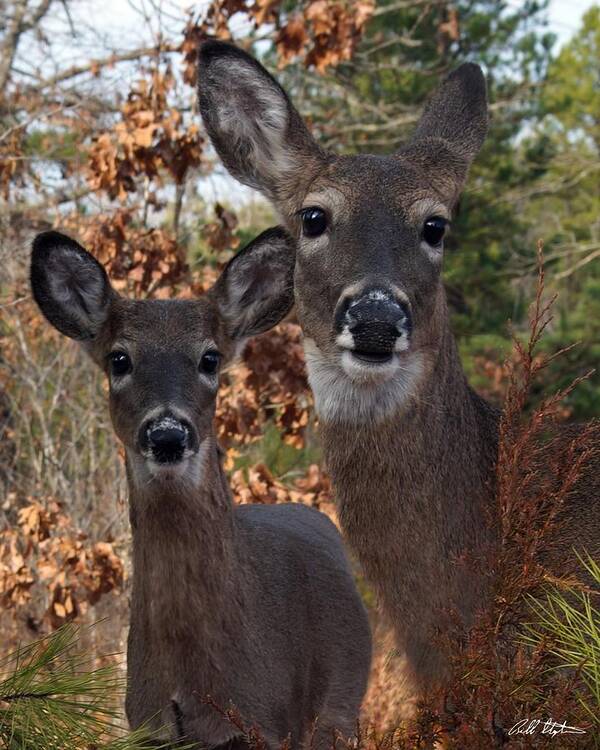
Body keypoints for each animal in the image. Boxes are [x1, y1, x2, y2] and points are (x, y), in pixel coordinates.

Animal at [31, 232, 376, 748]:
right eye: (119, 358)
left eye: (209, 358)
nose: (168, 434)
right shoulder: (148, 723)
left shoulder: (263, 722)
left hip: (339, 709)